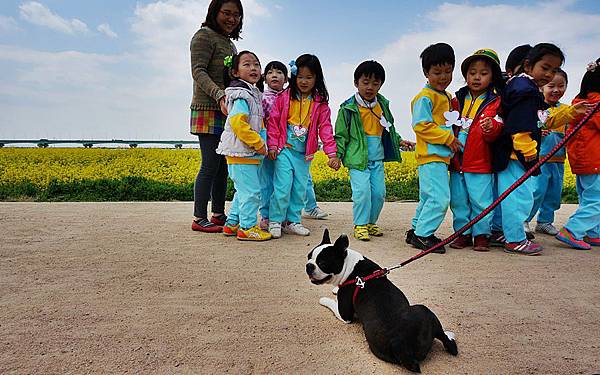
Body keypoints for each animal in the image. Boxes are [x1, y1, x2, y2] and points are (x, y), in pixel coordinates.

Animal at [308, 229, 458, 374]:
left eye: (322, 263)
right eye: (308, 257)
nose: (309, 266)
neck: (349, 266)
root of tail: (401, 345)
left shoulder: (344, 314)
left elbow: (331, 302)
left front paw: (326, 298)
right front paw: (335, 289)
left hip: (422, 308)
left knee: (447, 341)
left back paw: (449, 334)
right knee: (448, 343)